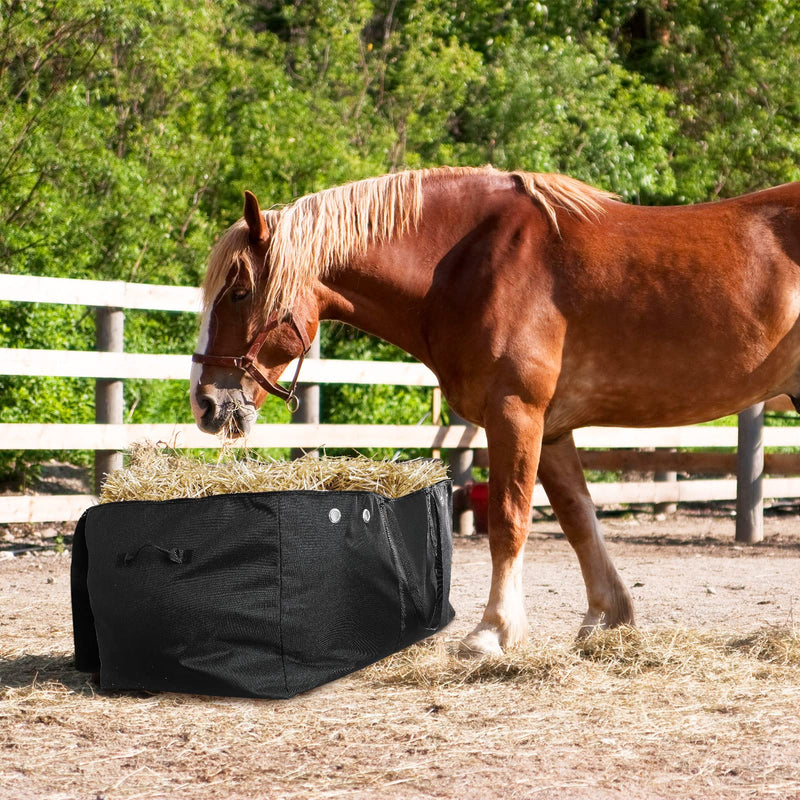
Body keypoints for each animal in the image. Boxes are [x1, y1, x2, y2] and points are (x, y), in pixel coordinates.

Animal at [190, 165, 800, 655]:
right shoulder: (551, 431)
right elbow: (578, 519)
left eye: (239, 291)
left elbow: (509, 522)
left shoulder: (516, 414)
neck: (468, 263)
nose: (206, 401)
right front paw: (607, 618)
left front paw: (494, 631)